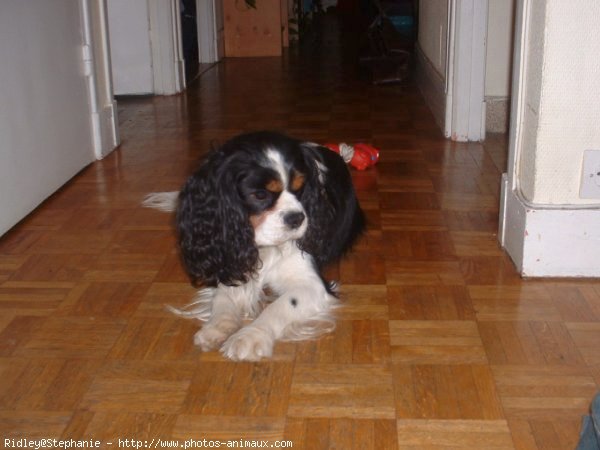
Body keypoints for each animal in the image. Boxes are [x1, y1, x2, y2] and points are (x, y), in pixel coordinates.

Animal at [144, 131, 366, 362]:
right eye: (260, 195)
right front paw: (216, 327)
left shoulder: (311, 284)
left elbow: (280, 306)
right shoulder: (230, 262)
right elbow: (224, 298)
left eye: (300, 188)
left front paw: (250, 336)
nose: (297, 218)